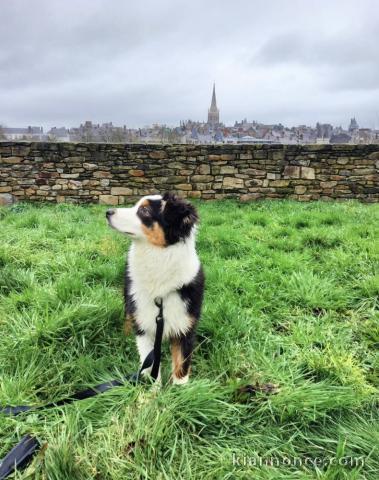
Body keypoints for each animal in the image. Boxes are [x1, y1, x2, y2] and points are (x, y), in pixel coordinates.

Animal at [105, 193, 205, 384]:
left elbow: (181, 370)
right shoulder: (144, 327)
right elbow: (151, 368)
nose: (108, 212)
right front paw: (153, 391)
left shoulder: (185, 327)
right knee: (128, 314)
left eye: (144, 210)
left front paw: (182, 391)